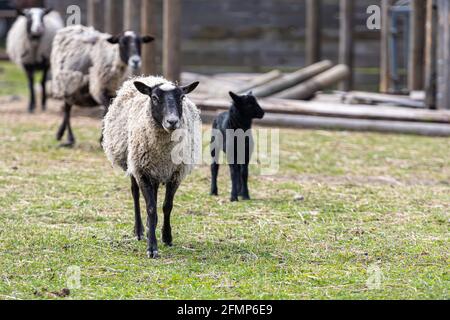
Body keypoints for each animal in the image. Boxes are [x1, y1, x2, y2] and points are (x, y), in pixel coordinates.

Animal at [103, 76, 201, 258]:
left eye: (182, 97)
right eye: (154, 98)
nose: (172, 122)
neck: (163, 153)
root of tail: (147, 78)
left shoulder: (175, 173)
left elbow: (166, 206)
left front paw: (166, 237)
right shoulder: (142, 172)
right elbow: (150, 208)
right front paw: (152, 247)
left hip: (154, 172)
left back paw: (150, 227)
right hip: (134, 165)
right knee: (135, 194)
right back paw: (140, 231)